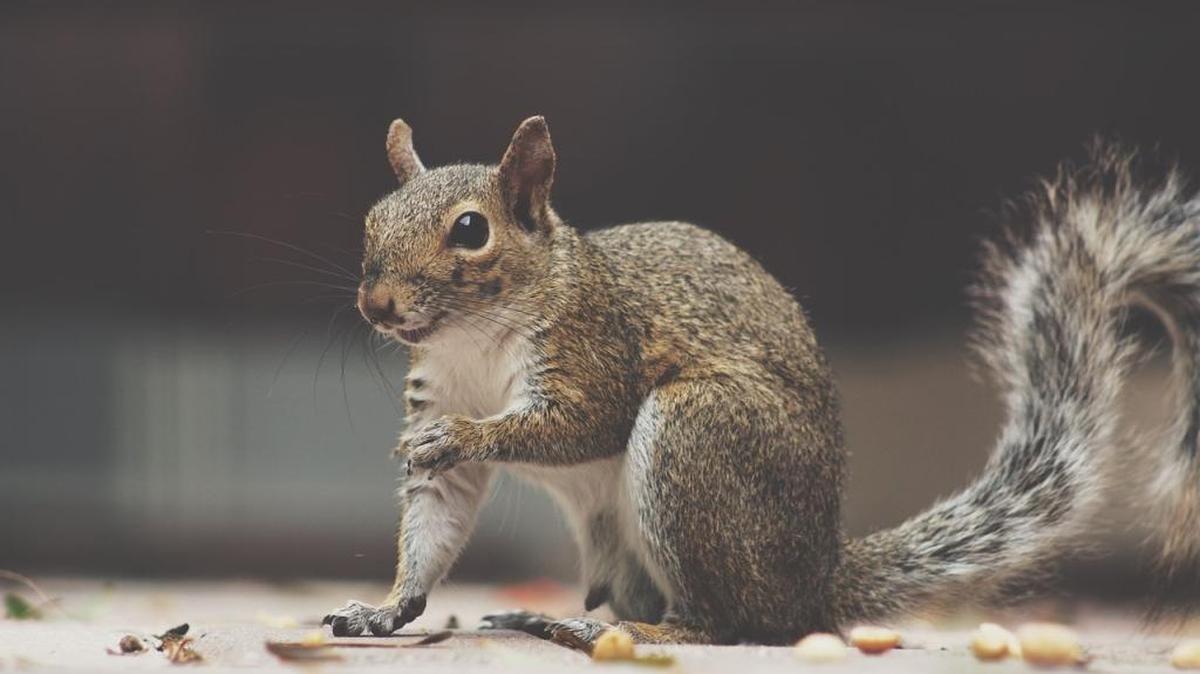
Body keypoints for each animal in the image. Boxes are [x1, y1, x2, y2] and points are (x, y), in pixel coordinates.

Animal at [322, 116, 1200, 646]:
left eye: (471, 231)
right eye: (372, 219)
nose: (375, 303)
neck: (471, 338)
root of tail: (814, 581)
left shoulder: (594, 345)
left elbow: (580, 424)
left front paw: (464, 434)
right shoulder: (442, 399)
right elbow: (436, 520)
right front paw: (385, 609)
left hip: (696, 435)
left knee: (727, 625)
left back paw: (626, 636)